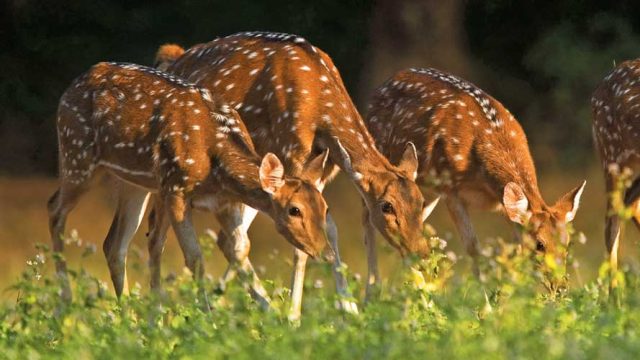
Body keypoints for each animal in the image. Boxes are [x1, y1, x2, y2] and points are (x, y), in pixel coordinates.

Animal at [48, 62, 330, 300]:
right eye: (294, 210)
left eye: (325, 207)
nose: (326, 253)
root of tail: (68, 90)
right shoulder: (177, 190)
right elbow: (195, 258)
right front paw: (204, 317)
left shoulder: (224, 203)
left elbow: (240, 249)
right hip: (77, 156)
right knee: (54, 208)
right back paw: (65, 300)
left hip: (134, 183)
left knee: (114, 244)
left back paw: (128, 314)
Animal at [149, 31, 438, 318]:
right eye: (387, 206)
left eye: (421, 201)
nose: (421, 253)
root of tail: (173, 57)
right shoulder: (291, 154)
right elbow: (301, 245)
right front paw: (294, 315)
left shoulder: (323, 169)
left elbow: (329, 228)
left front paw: (350, 309)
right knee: (170, 234)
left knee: (229, 239)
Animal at [364, 67, 584, 276]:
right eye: (539, 245)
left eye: (567, 244)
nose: (560, 283)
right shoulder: (450, 190)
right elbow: (473, 248)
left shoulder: (503, 205)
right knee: (368, 226)